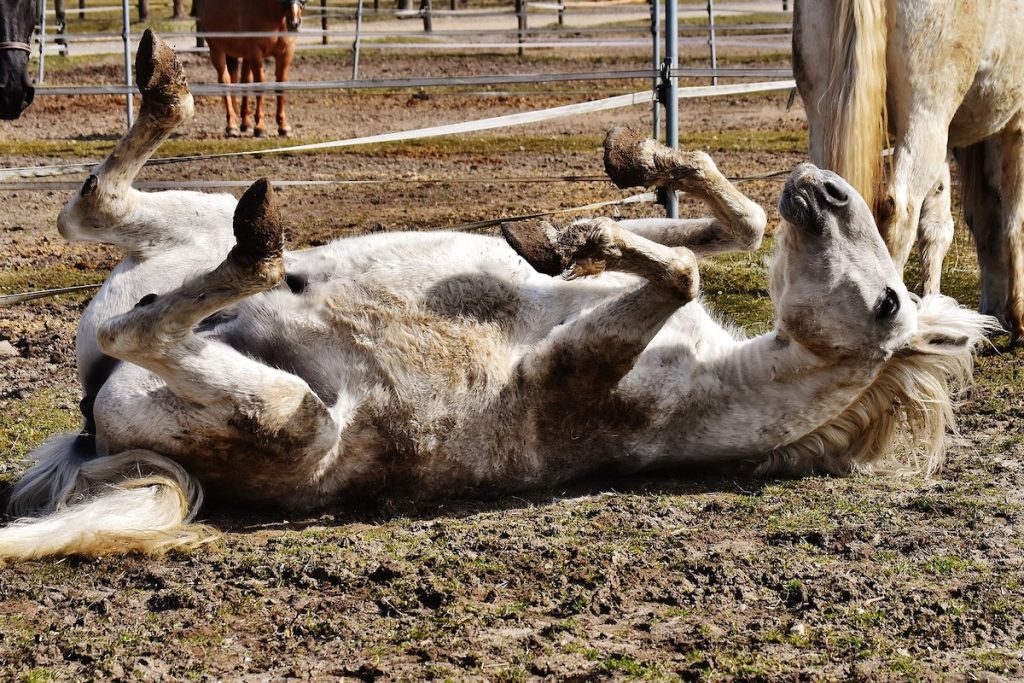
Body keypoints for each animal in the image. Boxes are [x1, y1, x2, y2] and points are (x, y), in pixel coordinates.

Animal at [0, 32, 995, 561]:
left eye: (889, 306)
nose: (827, 188)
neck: (708, 377)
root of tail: (93, 421)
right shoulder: (620, 292)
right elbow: (730, 231)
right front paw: (619, 178)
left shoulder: (575, 362)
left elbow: (680, 268)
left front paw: (575, 232)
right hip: (187, 232)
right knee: (95, 208)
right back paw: (168, 87)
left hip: (289, 416)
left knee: (138, 318)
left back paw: (256, 243)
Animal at [196, 0, 304, 137]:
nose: (294, 23)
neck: (274, 15)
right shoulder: (256, 54)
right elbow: (260, 86)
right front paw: (260, 127)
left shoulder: (286, 53)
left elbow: (280, 86)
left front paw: (283, 127)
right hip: (216, 50)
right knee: (225, 81)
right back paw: (231, 125)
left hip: (245, 55)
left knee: (244, 81)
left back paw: (245, 124)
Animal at [792, 0, 1024, 342]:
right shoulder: (1014, 130)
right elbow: (1012, 222)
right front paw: (1016, 317)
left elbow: (959, 224)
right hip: (925, 119)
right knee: (899, 215)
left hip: (825, 113)